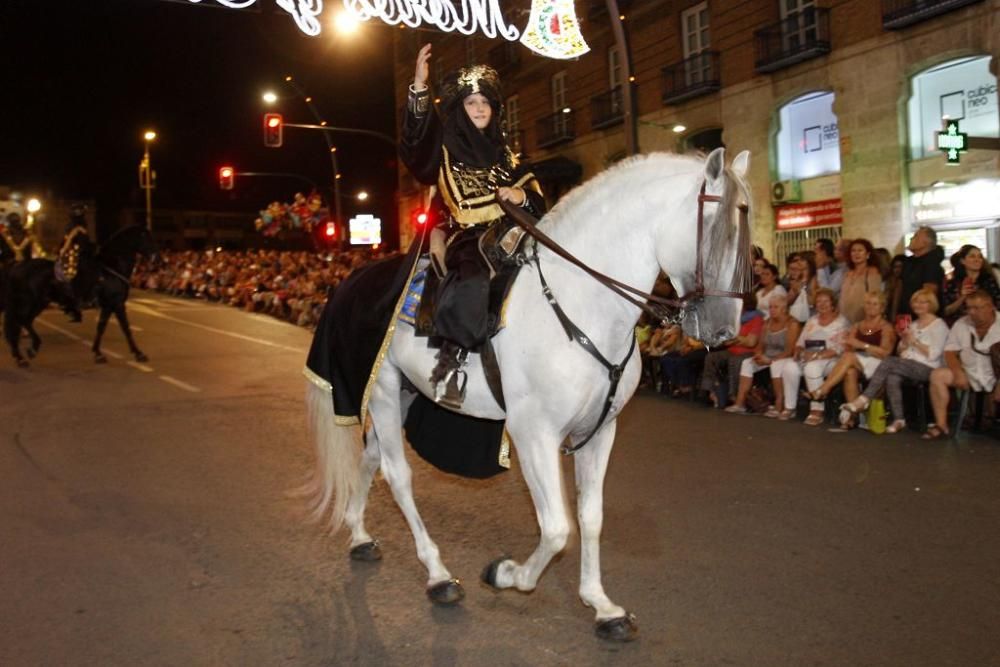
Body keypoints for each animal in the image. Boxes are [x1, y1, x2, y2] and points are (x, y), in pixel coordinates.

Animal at [1, 227, 156, 368]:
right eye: (146, 238)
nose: (156, 258)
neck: (111, 268)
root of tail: (16, 266)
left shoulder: (109, 306)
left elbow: (102, 327)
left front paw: (98, 353)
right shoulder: (116, 303)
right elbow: (126, 328)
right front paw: (138, 353)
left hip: (38, 303)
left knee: (23, 322)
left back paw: (23, 354)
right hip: (29, 303)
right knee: (20, 322)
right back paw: (28, 352)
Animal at [302, 147, 752, 640]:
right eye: (717, 230)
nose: (724, 331)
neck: (582, 303)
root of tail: (352, 279)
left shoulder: (600, 431)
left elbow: (590, 517)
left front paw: (601, 605)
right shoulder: (533, 432)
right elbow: (557, 528)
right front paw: (506, 574)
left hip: (405, 394)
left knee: (371, 458)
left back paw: (360, 535)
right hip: (382, 391)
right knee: (397, 475)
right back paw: (438, 575)